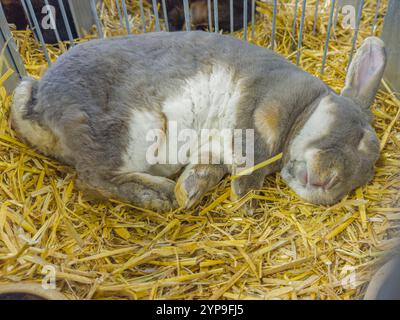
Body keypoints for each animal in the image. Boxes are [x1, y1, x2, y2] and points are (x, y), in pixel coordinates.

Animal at [10, 31, 388, 212]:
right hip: (119, 132)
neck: (307, 109)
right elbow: (253, 159)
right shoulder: (263, 107)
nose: (330, 187)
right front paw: (247, 203)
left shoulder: (216, 148)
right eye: (360, 138)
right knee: (94, 180)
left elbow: (209, 167)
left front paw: (190, 192)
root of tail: (41, 100)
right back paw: (158, 195)